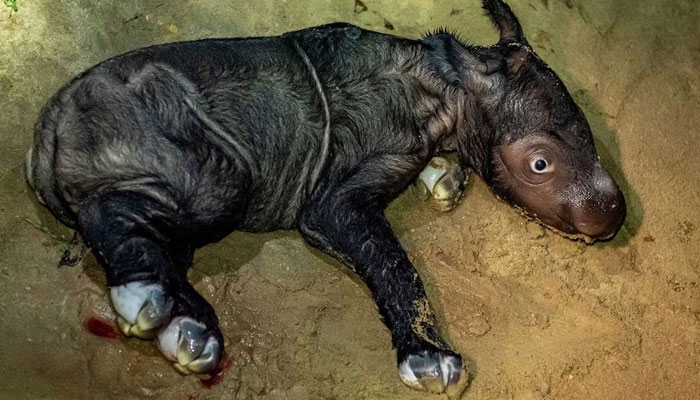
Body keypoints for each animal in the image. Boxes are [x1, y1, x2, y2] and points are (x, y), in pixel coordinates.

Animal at [27, 0, 624, 394]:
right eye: (540, 165)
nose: (612, 216)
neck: (445, 85)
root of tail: (46, 130)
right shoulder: (335, 199)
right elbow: (392, 260)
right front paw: (431, 360)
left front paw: (444, 176)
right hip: (189, 154)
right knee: (146, 205)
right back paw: (154, 302)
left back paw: (187, 328)